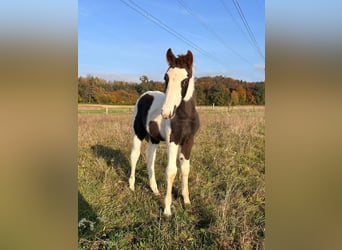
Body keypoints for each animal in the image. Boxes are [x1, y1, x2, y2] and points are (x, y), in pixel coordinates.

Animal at [128, 47, 199, 216]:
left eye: (185, 80)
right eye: (166, 77)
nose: (166, 112)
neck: (184, 117)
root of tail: (145, 95)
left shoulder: (189, 141)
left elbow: (185, 169)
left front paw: (186, 201)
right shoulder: (172, 141)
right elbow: (171, 171)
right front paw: (167, 209)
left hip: (154, 139)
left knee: (149, 158)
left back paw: (154, 190)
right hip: (137, 133)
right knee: (135, 155)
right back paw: (132, 186)